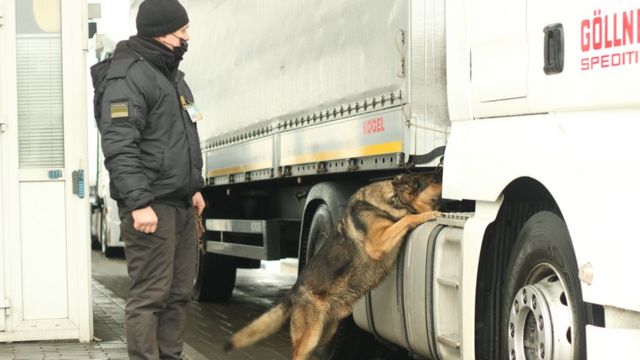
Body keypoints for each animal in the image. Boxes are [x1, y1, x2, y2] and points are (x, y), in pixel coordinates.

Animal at [228, 173, 442, 358]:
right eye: (436, 178)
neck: (395, 199)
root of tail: (293, 290)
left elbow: (405, 218)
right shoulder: (378, 243)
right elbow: (407, 218)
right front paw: (429, 214)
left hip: (325, 334)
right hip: (309, 337)